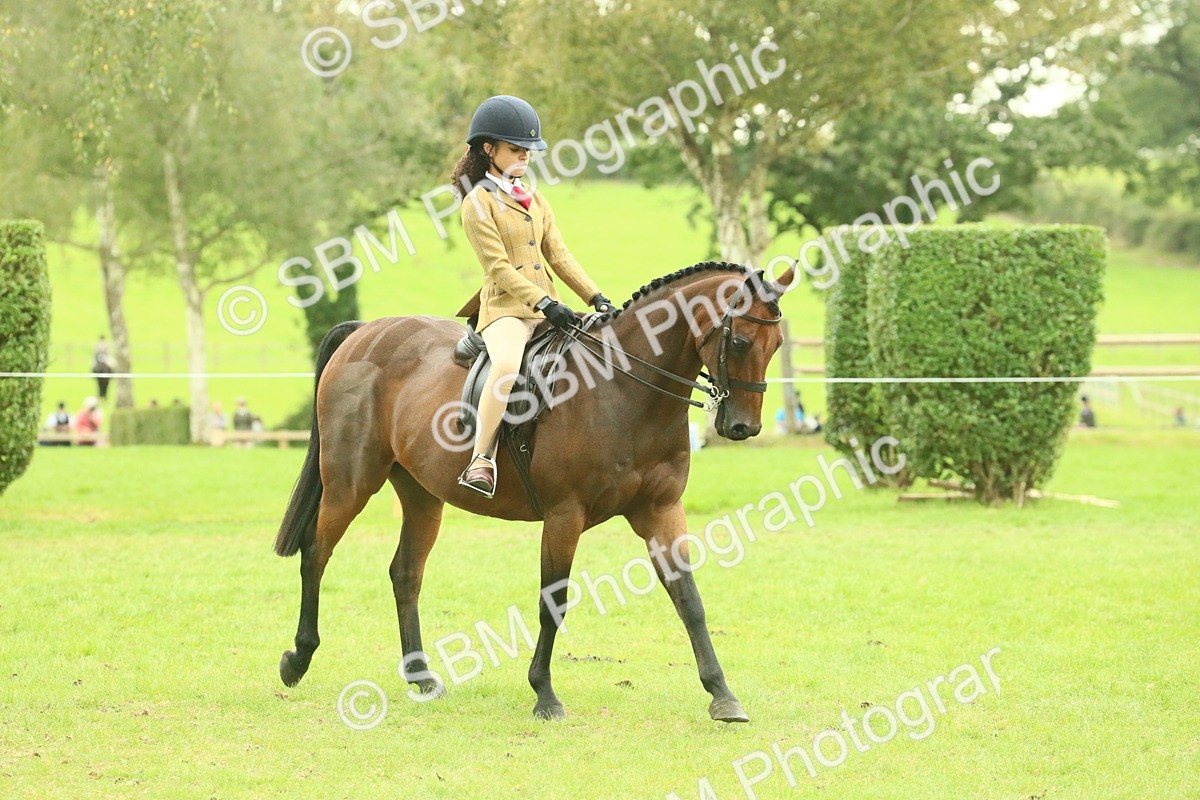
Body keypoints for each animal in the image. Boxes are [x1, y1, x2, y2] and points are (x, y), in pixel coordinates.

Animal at [273, 260, 793, 722]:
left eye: (778, 344)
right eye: (740, 340)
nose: (743, 427)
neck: (623, 391)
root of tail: (365, 332)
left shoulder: (660, 510)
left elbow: (688, 599)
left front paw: (722, 695)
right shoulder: (566, 515)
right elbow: (553, 602)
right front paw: (544, 695)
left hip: (421, 494)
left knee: (405, 573)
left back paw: (421, 677)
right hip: (351, 482)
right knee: (316, 554)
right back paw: (297, 659)